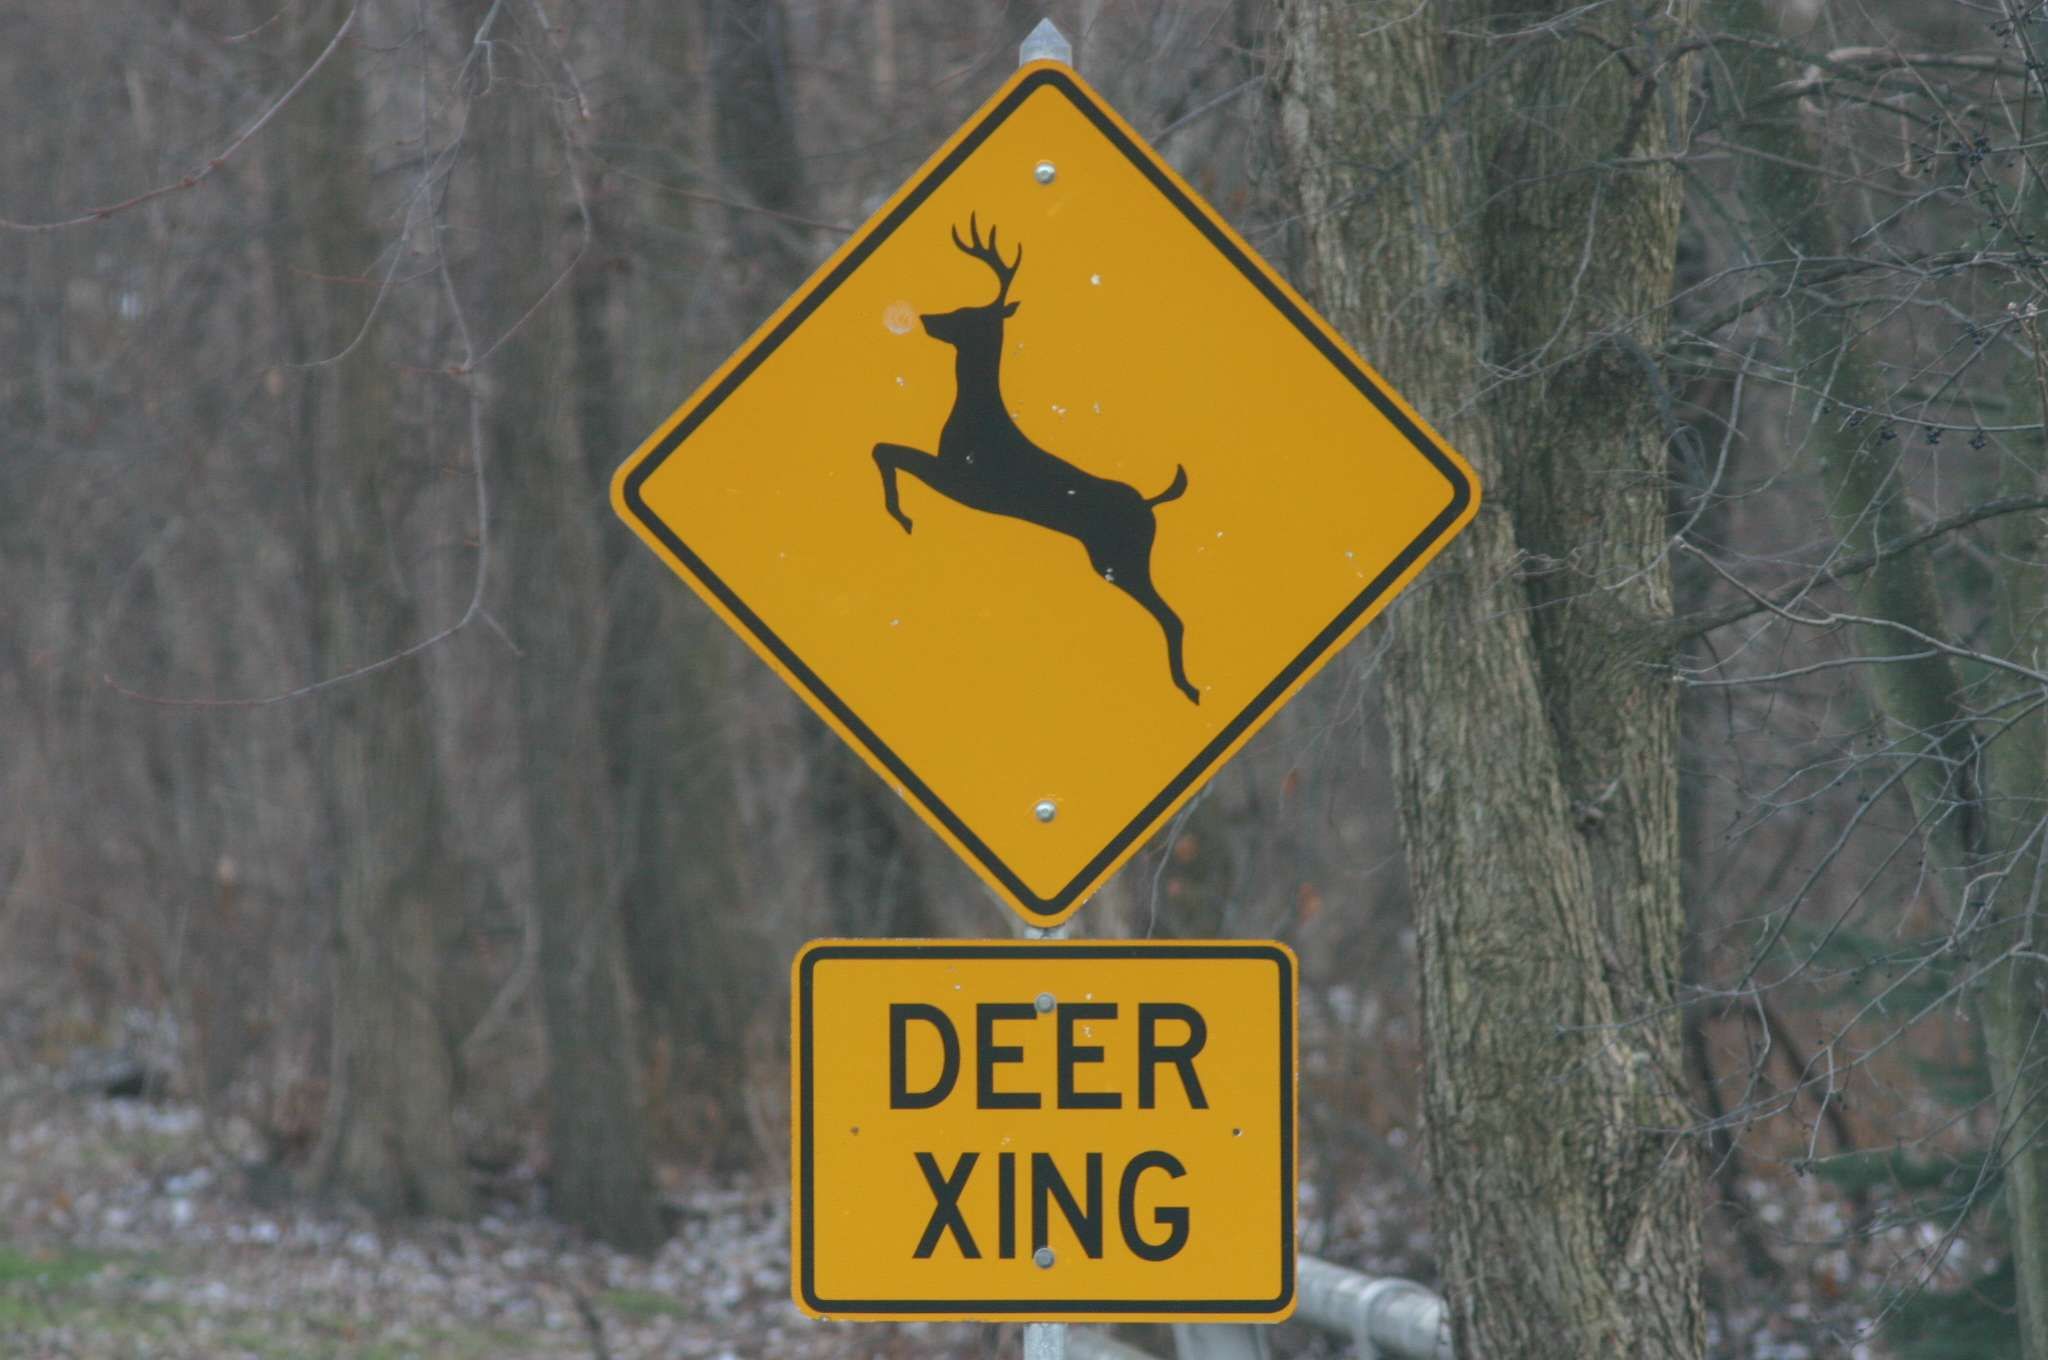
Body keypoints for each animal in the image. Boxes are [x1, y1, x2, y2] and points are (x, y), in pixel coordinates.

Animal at [872, 214, 1200, 705]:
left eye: (967, 314)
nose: (927, 319)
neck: (975, 412)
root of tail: (1151, 503)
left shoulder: (963, 479)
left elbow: (886, 450)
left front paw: (903, 516)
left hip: (1120, 558)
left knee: (1172, 616)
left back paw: (1188, 688)